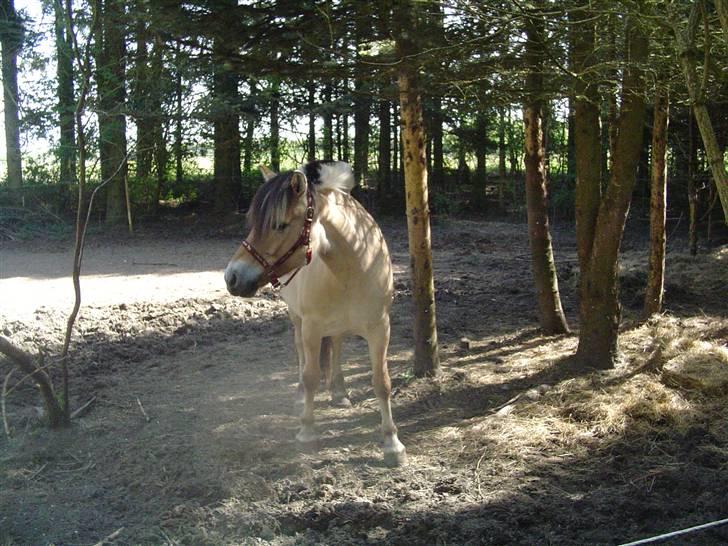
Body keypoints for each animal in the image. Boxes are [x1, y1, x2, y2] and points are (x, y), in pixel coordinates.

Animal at [225, 159, 406, 466]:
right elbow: (310, 377)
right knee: (301, 352)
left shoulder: (380, 328)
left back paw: (339, 391)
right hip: (297, 318)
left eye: (280, 225)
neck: (354, 267)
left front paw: (392, 443)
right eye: (253, 224)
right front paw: (307, 431)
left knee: (337, 344)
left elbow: (381, 381)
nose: (232, 277)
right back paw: (301, 395)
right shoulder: (311, 327)